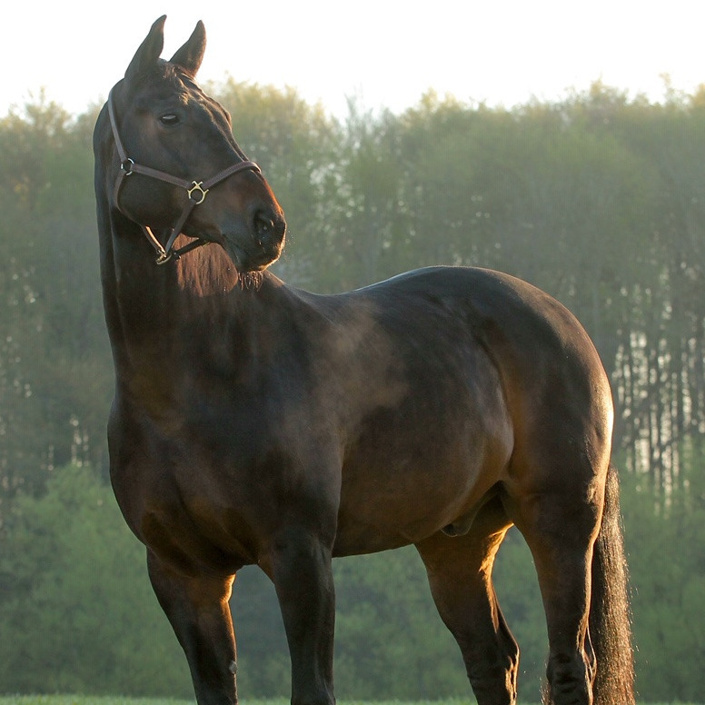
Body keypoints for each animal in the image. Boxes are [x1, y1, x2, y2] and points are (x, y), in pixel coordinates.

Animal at [93, 16, 634, 705]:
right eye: (168, 117)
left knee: (568, 664)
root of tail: (567, 325)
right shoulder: (183, 575)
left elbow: (313, 686)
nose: (266, 224)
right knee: (493, 659)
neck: (195, 382)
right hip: (457, 541)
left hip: (561, 519)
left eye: (223, 115)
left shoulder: (301, 555)